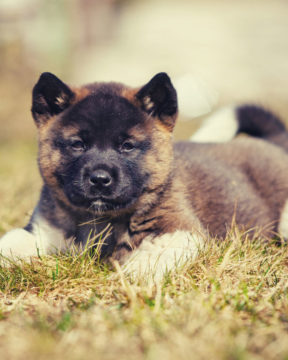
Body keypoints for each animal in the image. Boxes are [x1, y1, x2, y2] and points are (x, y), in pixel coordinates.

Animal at [0, 71, 288, 278]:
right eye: (77, 144)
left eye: (127, 146)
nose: (100, 180)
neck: (101, 220)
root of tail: (274, 141)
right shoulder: (41, 232)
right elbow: (11, 242)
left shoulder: (181, 231)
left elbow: (146, 261)